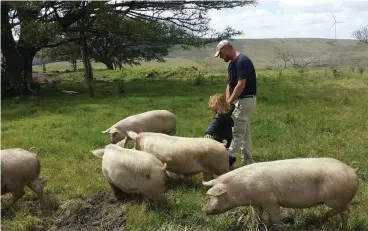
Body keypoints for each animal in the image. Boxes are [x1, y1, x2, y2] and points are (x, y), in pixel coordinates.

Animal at [203, 156, 358, 230]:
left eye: (216, 196)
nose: (205, 210)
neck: (243, 188)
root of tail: (352, 170)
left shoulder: (270, 200)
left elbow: (275, 217)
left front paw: (280, 226)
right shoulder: (257, 202)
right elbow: (257, 216)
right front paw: (261, 226)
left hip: (336, 199)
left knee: (345, 211)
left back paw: (326, 219)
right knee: (345, 212)